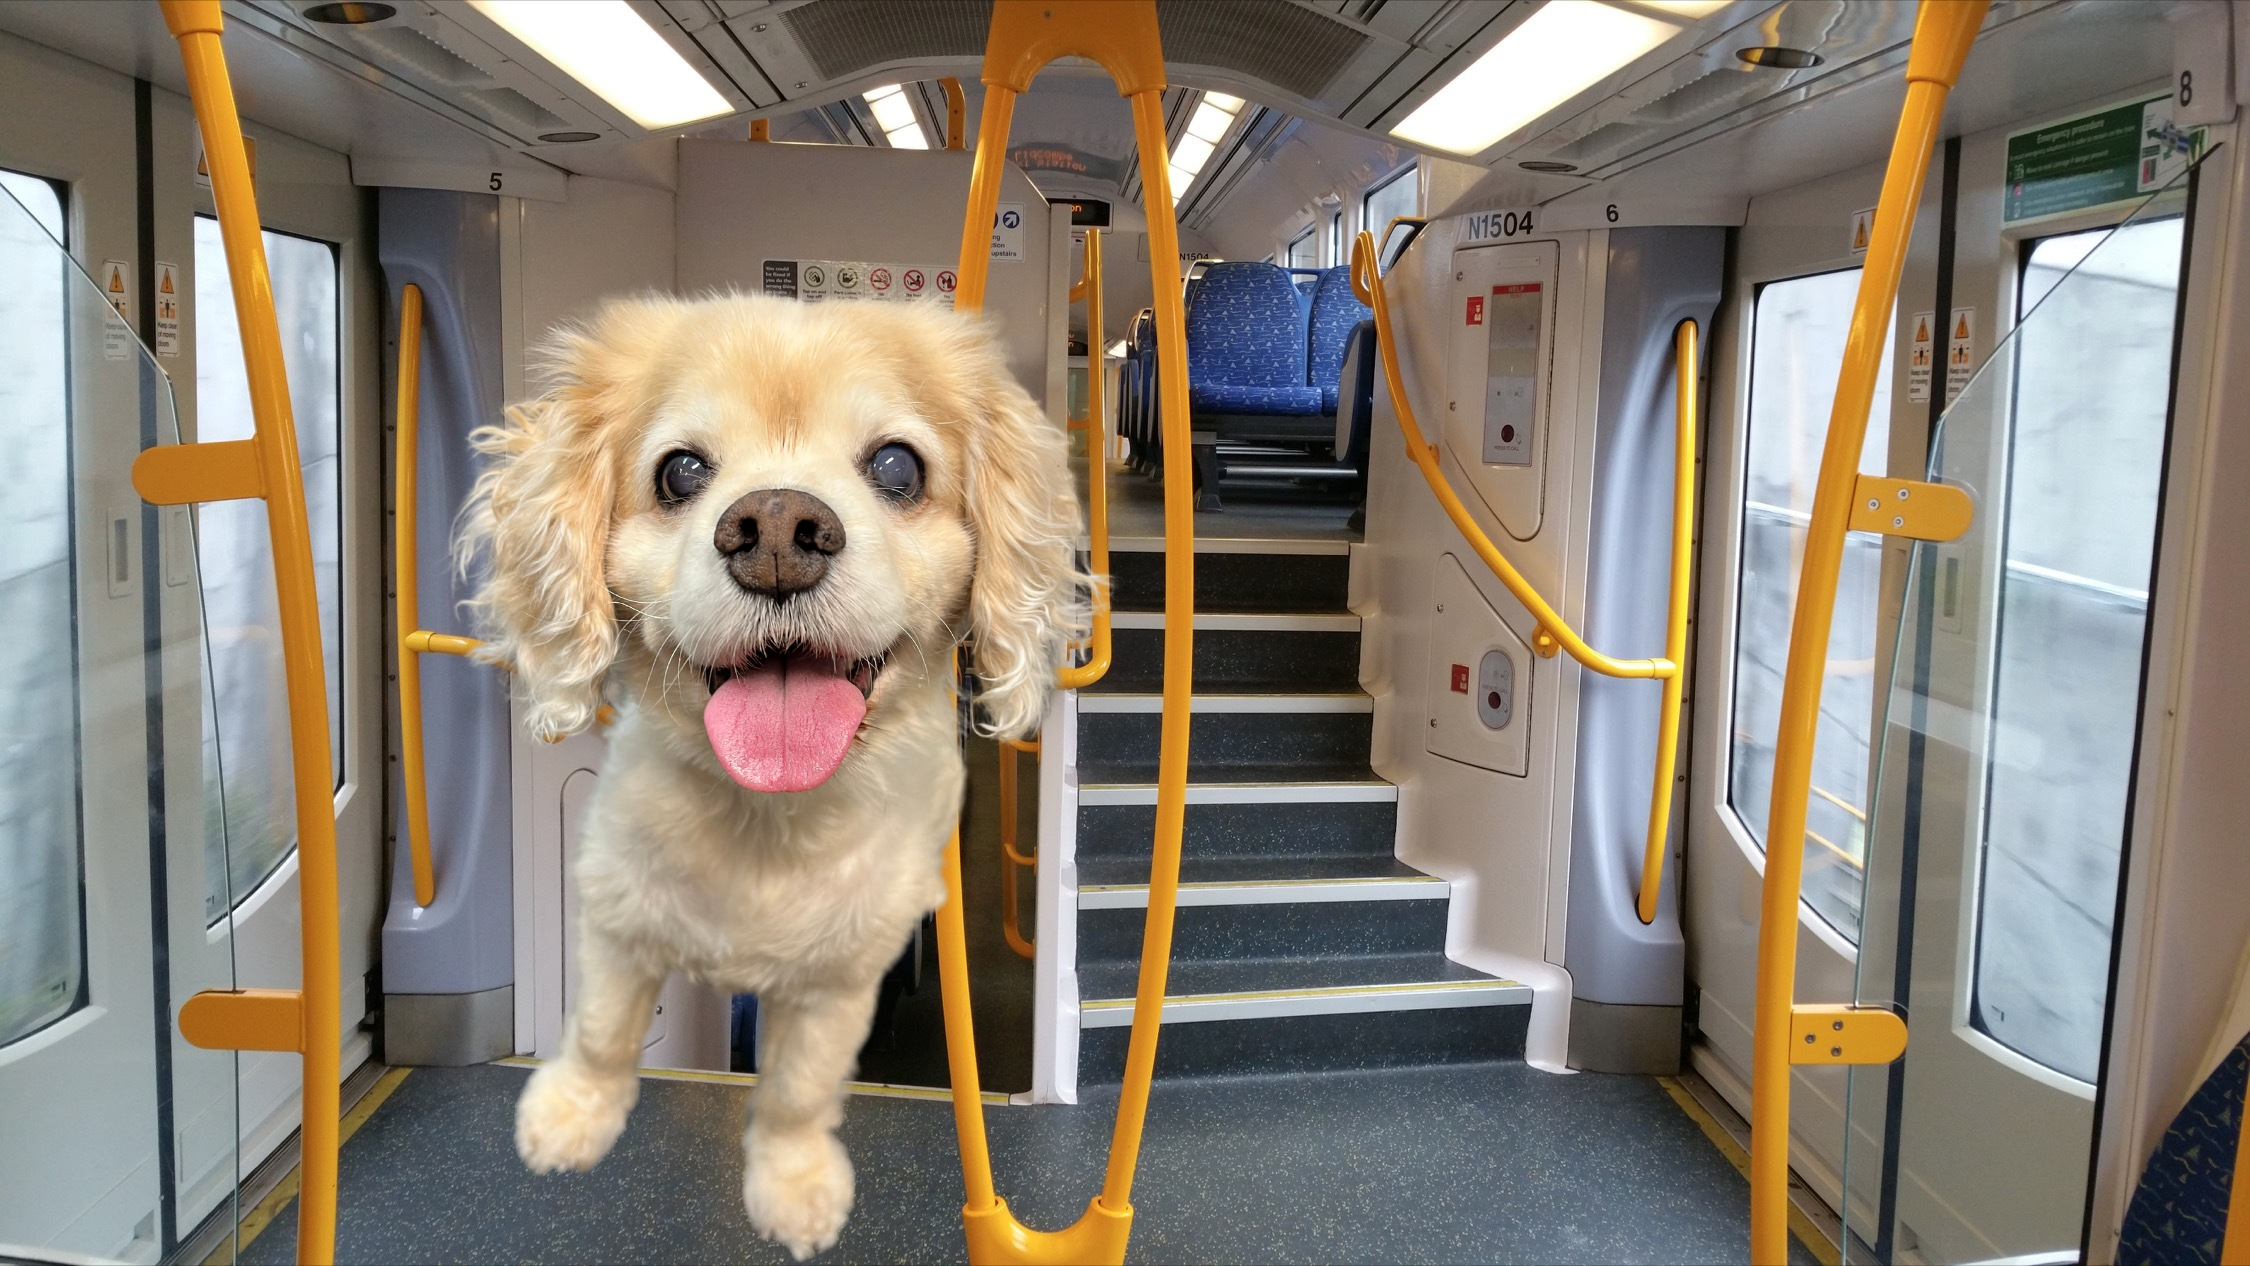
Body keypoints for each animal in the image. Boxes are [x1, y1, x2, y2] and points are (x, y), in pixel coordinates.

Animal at [459, 294, 1080, 1259]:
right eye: (680, 471)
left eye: (896, 465)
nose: (779, 530)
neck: (768, 816)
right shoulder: (616, 910)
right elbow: (601, 1026)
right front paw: (570, 1117)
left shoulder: (842, 979)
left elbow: (796, 1089)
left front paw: (793, 1190)